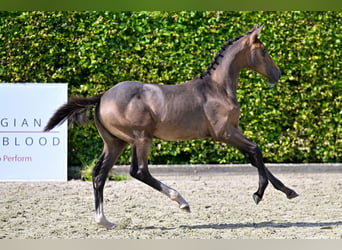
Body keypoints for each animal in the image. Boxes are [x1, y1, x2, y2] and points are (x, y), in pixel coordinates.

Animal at [46, 24, 300, 229]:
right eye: (264, 51)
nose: (277, 74)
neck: (217, 89)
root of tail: (101, 97)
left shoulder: (233, 132)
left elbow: (255, 158)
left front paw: (289, 192)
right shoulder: (225, 133)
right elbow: (256, 150)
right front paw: (258, 194)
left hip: (115, 143)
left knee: (99, 175)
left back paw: (104, 221)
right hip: (141, 138)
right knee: (139, 171)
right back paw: (182, 202)